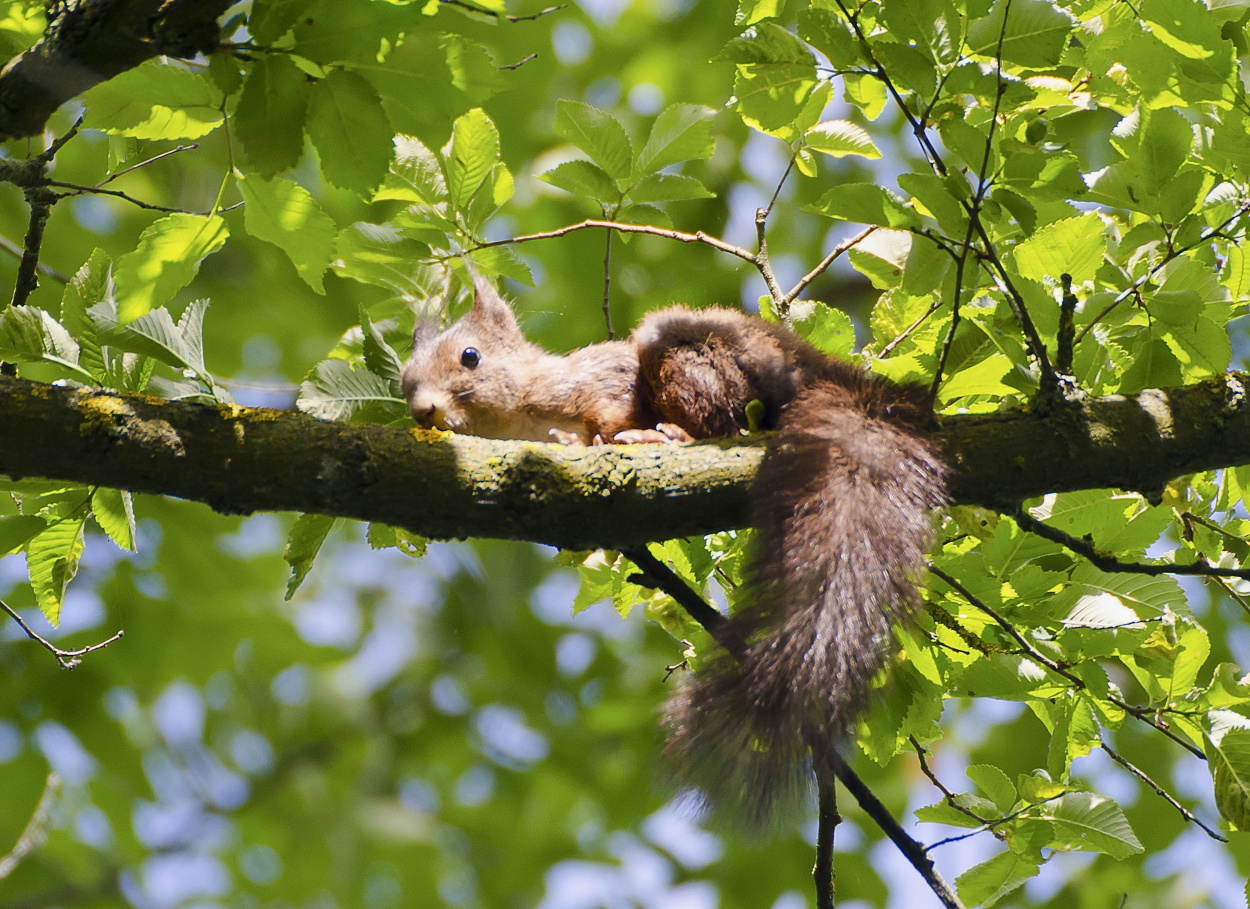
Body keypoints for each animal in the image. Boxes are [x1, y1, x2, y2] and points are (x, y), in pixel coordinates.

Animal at [402, 272, 945, 830]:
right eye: (403, 380)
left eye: (470, 356)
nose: (422, 409)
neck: (520, 415)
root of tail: (815, 366)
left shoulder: (601, 382)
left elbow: (610, 408)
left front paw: (594, 441)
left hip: (694, 358)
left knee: (725, 422)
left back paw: (661, 434)